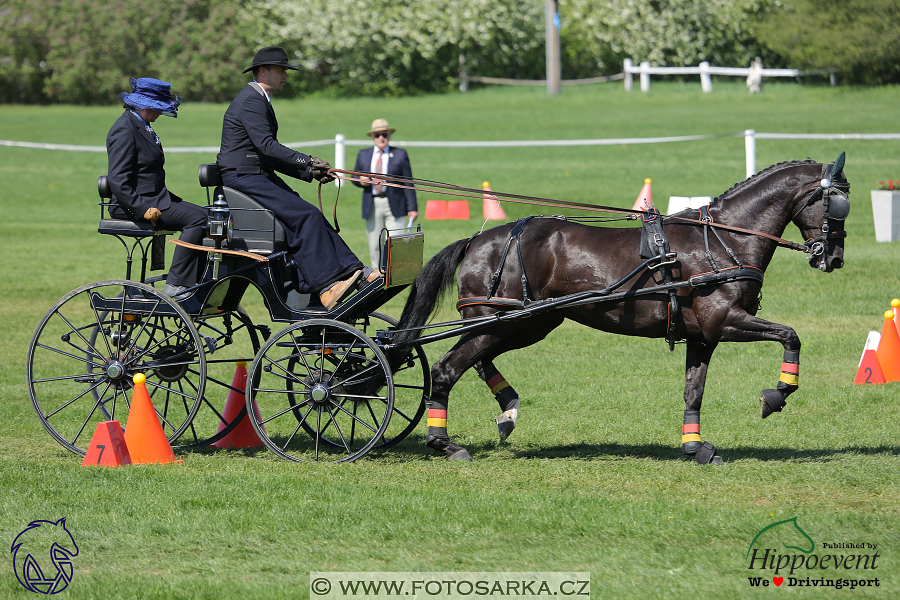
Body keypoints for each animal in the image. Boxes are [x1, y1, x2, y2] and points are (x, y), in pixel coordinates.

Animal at [390, 156, 848, 464]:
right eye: (837, 203)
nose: (833, 258)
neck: (722, 240)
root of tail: (477, 240)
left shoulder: (703, 336)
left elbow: (694, 390)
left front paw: (696, 447)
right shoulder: (725, 322)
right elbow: (790, 335)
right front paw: (776, 395)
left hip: (527, 322)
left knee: (477, 360)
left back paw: (507, 411)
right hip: (500, 321)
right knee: (449, 368)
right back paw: (445, 443)